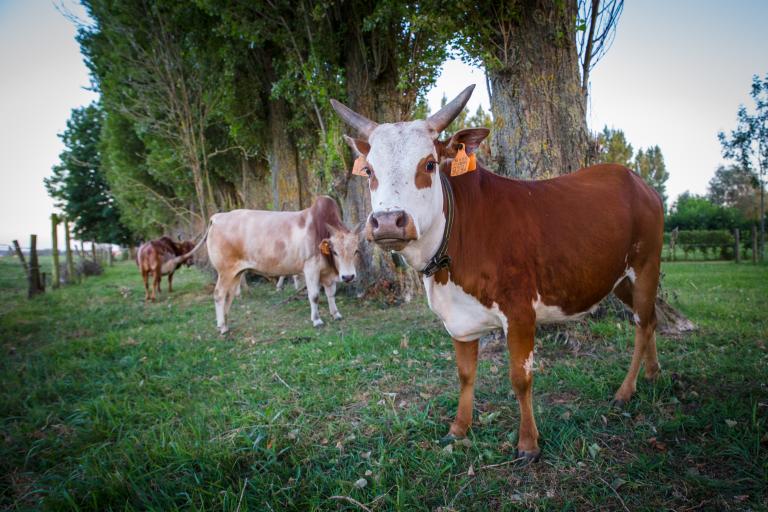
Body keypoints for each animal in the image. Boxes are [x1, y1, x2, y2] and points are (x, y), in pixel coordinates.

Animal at [204, 195, 360, 332]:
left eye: (356, 251)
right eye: (335, 252)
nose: (348, 277)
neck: (319, 231)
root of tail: (217, 217)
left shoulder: (327, 273)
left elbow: (331, 294)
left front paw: (336, 314)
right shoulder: (311, 268)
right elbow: (314, 295)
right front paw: (317, 320)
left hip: (236, 273)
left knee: (229, 295)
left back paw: (225, 323)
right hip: (225, 271)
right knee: (219, 294)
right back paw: (222, 327)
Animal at [332, 86, 664, 462]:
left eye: (429, 164)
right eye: (369, 170)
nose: (388, 221)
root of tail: (636, 180)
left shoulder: (519, 311)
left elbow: (520, 378)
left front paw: (528, 443)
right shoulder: (459, 320)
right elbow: (465, 374)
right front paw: (459, 428)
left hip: (646, 265)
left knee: (642, 323)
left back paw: (626, 389)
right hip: (617, 277)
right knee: (650, 319)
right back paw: (652, 373)